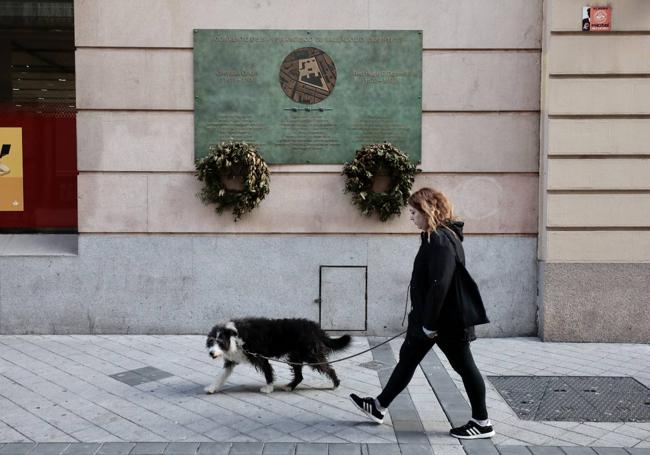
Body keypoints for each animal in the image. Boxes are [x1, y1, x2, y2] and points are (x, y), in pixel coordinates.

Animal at [206, 318, 350, 396]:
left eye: (220, 342)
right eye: (211, 342)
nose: (211, 353)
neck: (235, 337)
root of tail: (316, 328)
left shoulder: (260, 357)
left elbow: (268, 372)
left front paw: (268, 388)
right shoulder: (231, 360)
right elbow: (221, 375)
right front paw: (212, 388)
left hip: (311, 355)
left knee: (328, 368)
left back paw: (336, 384)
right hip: (296, 356)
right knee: (299, 375)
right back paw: (290, 386)